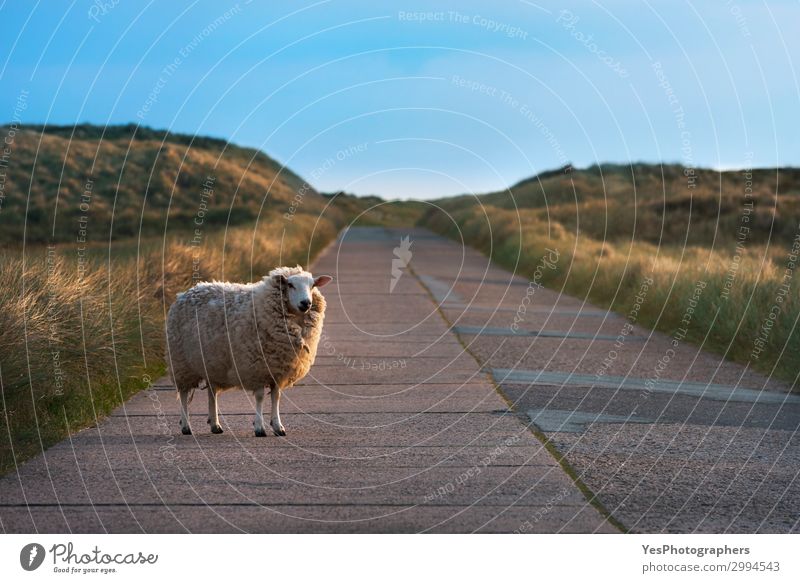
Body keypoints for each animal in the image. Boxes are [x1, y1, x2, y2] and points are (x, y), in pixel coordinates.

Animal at [165, 266, 332, 436]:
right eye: (290, 285)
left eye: (312, 285)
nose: (306, 303)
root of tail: (187, 292)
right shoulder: (257, 367)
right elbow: (259, 397)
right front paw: (259, 427)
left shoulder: (277, 370)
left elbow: (276, 397)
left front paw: (278, 426)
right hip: (181, 364)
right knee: (184, 393)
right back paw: (186, 426)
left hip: (212, 363)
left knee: (212, 392)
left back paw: (215, 425)